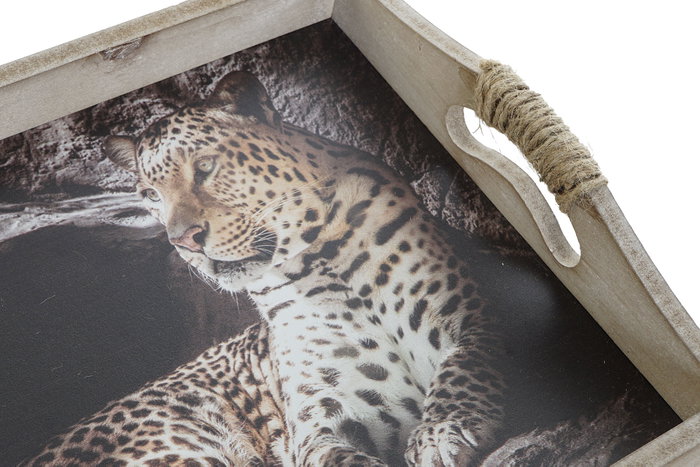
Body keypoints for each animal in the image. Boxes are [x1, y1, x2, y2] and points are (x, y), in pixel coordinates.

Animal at [25, 70, 504, 466]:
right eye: (150, 195)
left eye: (205, 167)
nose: (183, 241)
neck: (323, 264)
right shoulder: (323, 424)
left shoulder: (476, 317)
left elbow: (466, 368)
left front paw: (440, 434)